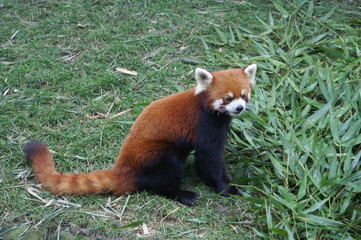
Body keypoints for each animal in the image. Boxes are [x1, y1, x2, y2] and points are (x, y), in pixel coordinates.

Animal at [23, 64, 256, 206]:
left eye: (244, 95)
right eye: (227, 98)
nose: (239, 108)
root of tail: (124, 167)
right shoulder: (205, 125)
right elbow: (208, 160)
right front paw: (226, 188)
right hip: (155, 155)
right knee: (166, 173)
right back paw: (181, 194)